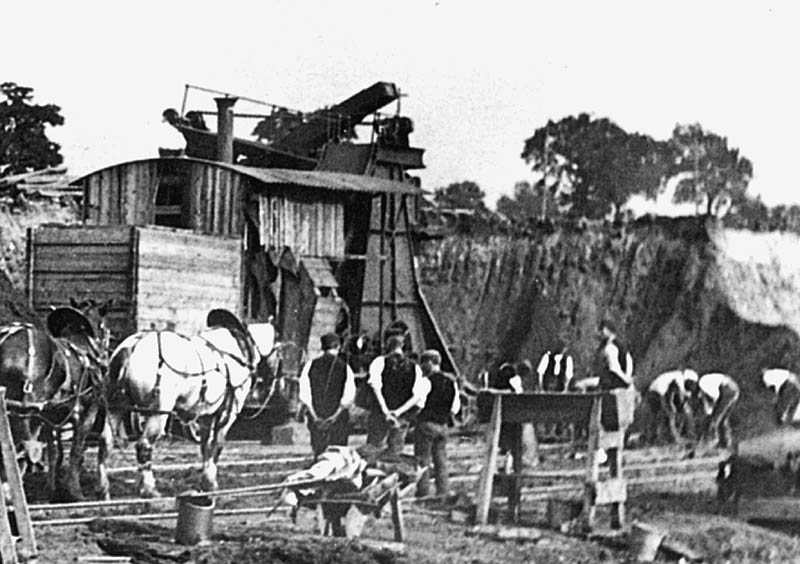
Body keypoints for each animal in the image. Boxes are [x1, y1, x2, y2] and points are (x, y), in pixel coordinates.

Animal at [0, 302, 111, 500]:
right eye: (105, 329)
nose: (104, 365)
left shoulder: (50, 417)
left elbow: (54, 453)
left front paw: (51, 490)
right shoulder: (87, 414)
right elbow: (75, 451)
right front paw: (74, 491)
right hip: (23, 413)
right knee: (23, 450)